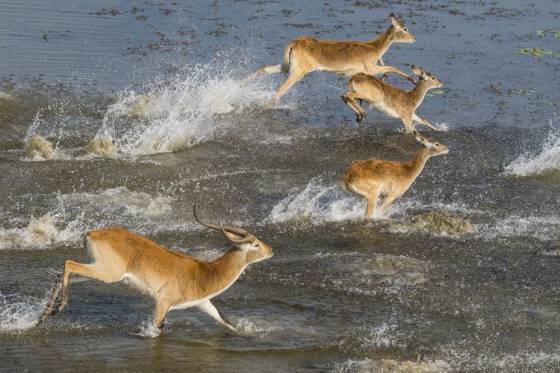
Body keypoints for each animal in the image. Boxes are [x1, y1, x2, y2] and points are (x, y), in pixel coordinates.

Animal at [40, 203, 272, 334]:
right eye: (255, 244)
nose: (271, 250)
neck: (204, 273)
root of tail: (92, 233)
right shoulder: (162, 303)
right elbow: (156, 329)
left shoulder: (203, 303)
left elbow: (226, 321)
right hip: (108, 274)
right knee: (68, 263)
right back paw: (58, 308)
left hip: (98, 270)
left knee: (62, 273)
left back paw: (46, 314)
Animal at [250, 13, 416, 105]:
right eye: (405, 28)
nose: (414, 38)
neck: (374, 48)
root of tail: (294, 42)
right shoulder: (371, 69)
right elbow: (391, 67)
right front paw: (413, 79)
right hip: (297, 72)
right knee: (280, 90)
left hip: (288, 66)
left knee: (264, 69)